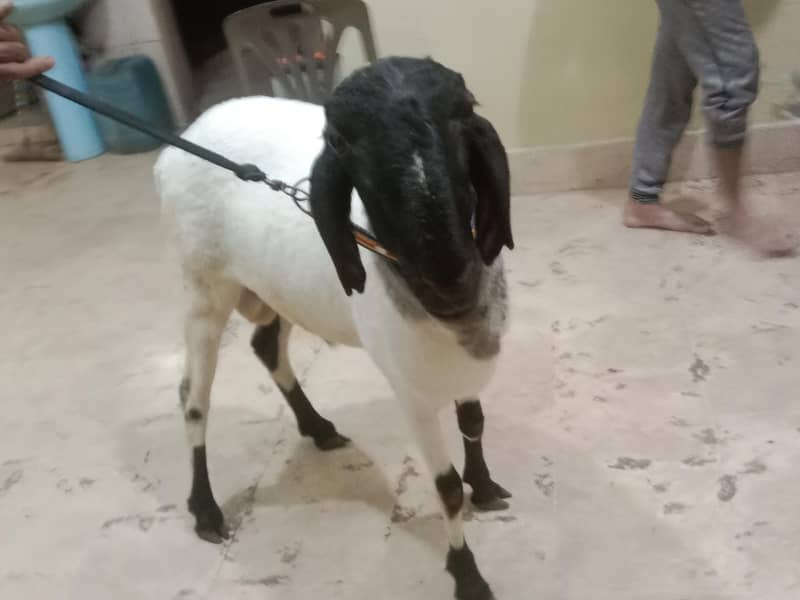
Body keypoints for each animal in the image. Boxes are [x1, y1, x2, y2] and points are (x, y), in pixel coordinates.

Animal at [154, 56, 514, 600]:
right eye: (341, 142)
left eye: (465, 112)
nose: (446, 271)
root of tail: (183, 137)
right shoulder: (411, 390)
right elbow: (446, 488)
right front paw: (468, 576)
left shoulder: (455, 368)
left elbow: (473, 422)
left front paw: (487, 486)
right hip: (204, 293)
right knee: (193, 400)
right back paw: (206, 509)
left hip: (273, 290)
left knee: (266, 347)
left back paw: (318, 428)